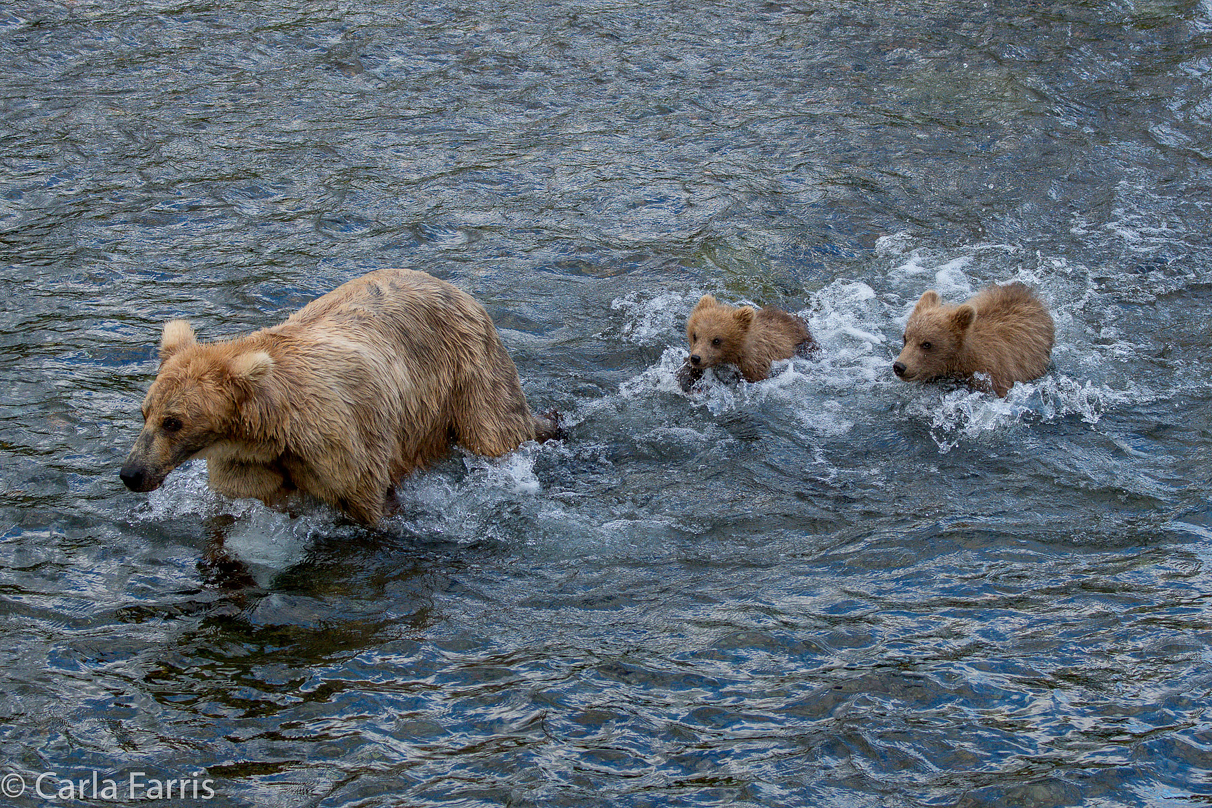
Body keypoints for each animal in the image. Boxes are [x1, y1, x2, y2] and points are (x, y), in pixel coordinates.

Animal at [120, 268, 555, 528]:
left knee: (496, 432)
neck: (273, 429)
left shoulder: (339, 444)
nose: (130, 473)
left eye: (173, 421)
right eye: (144, 413)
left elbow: (365, 502)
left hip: (468, 372)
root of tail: (454, 287)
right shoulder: (248, 463)